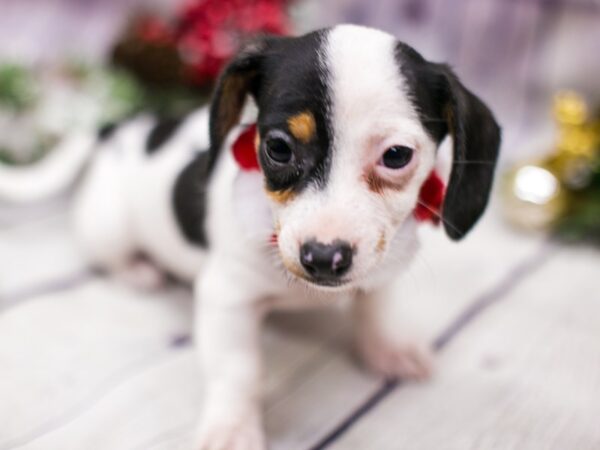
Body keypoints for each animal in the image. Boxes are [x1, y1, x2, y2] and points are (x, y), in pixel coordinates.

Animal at [0, 25, 500, 450]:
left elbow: (376, 310)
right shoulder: (227, 299)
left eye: (396, 156)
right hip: (108, 228)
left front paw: (388, 349)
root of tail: (121, 128)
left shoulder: (382, 270)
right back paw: (139, 270)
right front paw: (232, 429)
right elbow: (237, 373)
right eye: (277, 147)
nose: (323, 257)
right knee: (110, 256)